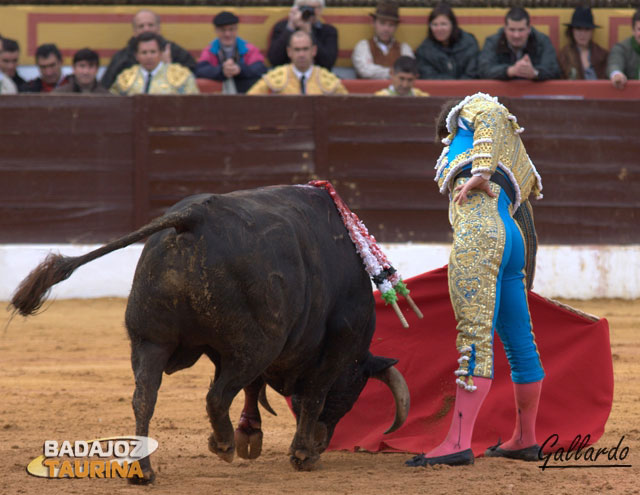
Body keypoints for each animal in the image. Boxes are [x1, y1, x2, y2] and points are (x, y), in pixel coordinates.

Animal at [11, 185, 410, 484]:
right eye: (354, 390)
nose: (321, 446)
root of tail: (192, 218)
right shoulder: (337, 347)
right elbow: (311, 397)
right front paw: (300, 453)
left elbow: (255, 389)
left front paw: (253, 435)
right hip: (254, 345)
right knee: (216, 396)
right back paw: (223, 445)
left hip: (150, 341)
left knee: (145, 397)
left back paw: (145, 471)